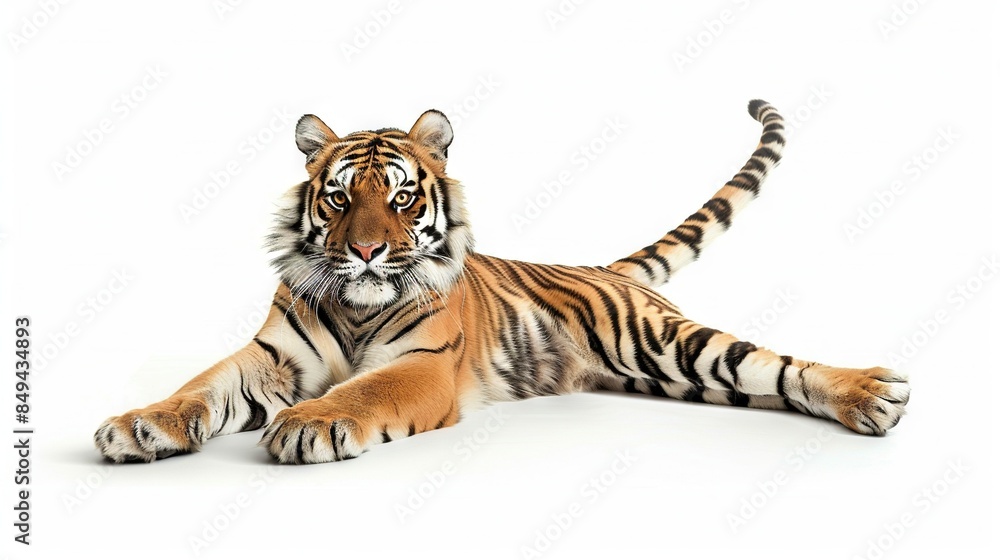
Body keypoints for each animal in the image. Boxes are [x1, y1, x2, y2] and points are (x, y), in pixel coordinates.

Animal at [94, 100, 910, 464]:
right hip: (669, 377)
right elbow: (198, 388)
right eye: (339, 198)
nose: (365, 251)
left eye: (401, 198)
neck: (359, 305)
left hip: (669, 342)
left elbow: (360, 391)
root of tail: (604, 268)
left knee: (775, 364)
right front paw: (140, 424)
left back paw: (871, 394)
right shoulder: (269, 359)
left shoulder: (422, 367)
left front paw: (310, 422)